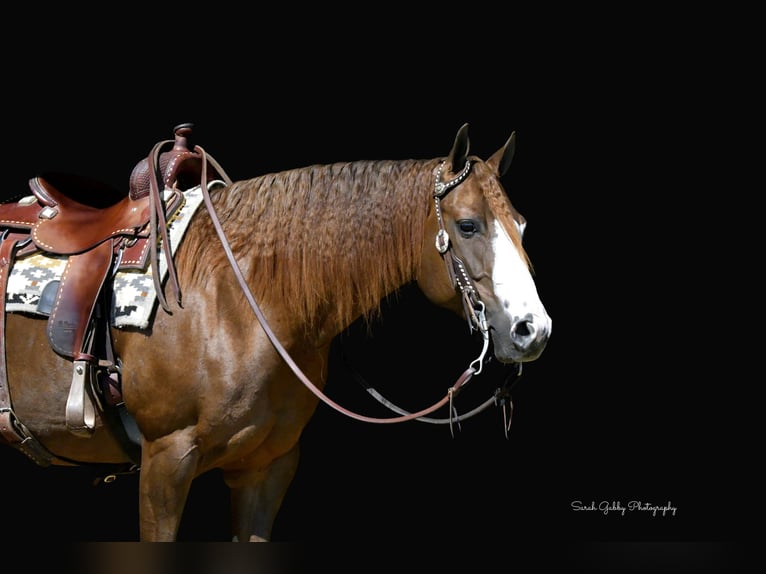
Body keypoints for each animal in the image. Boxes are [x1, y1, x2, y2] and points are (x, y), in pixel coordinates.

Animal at [0, 122, 551, 541]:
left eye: (522, 225)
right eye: (467, 225)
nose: (533, 330)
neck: (236, 300)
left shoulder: (267, 468)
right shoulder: (165, 461)